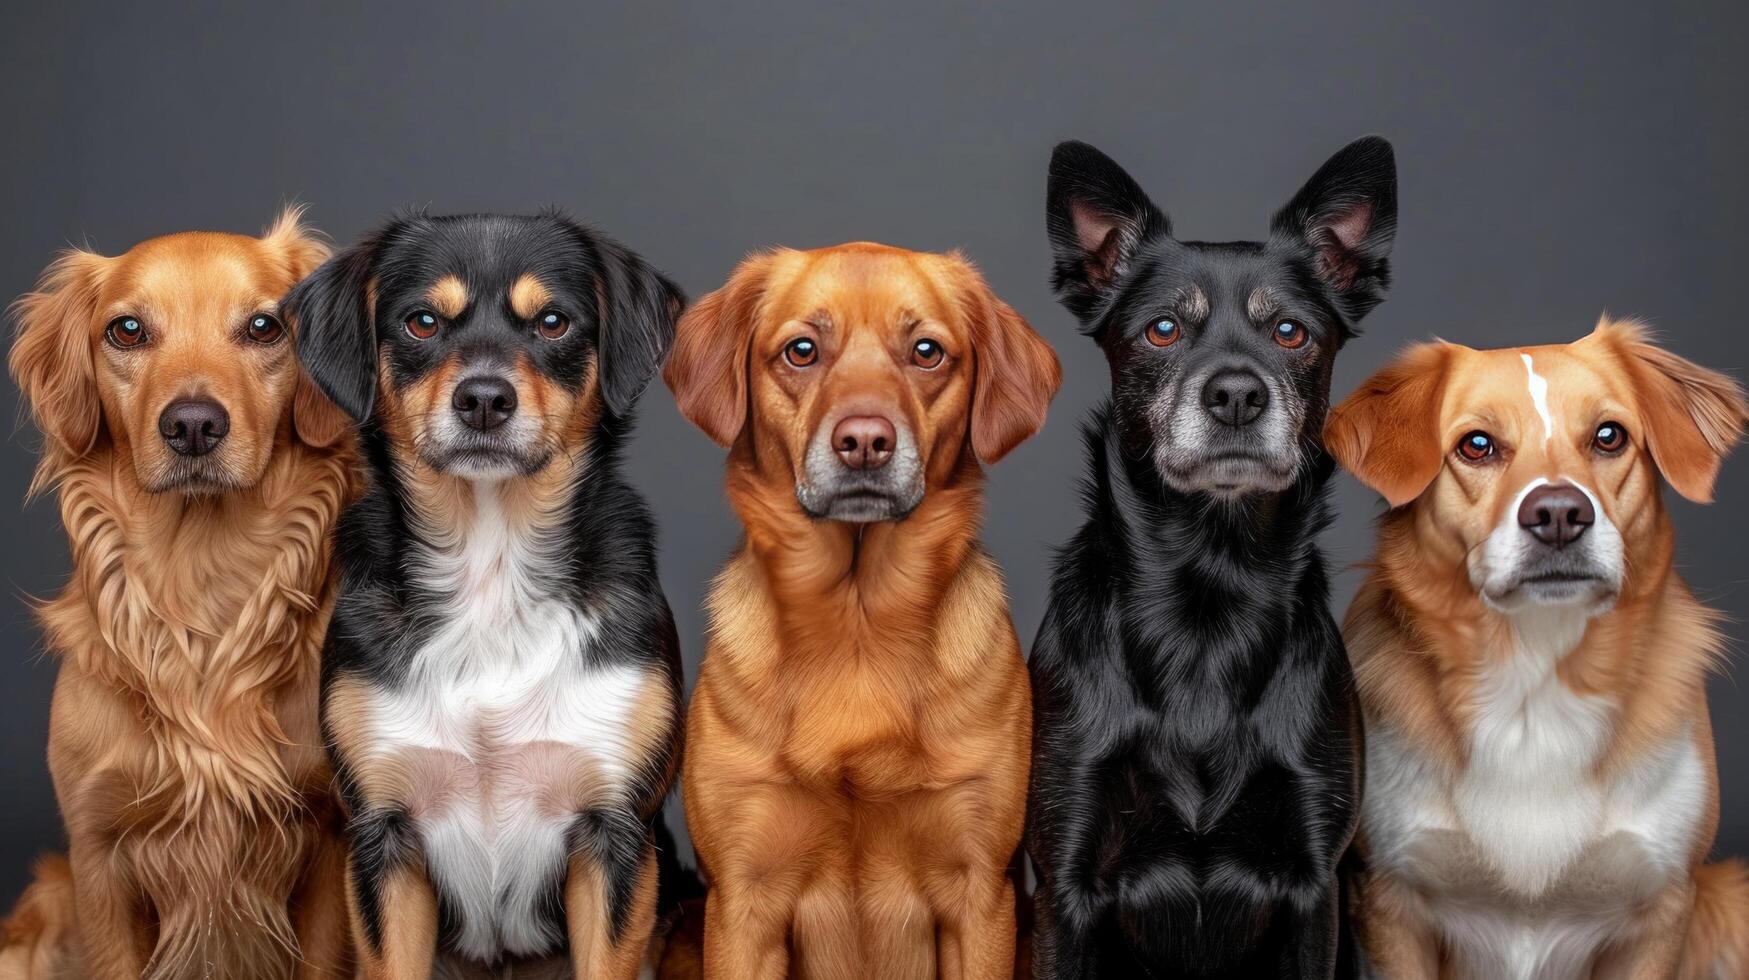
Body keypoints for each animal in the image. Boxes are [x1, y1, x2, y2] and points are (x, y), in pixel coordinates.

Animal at [0, 212, 358, 980]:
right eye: (127, 330)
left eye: (263, 327)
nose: (193, 424)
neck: (202, 577)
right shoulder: (99, 852)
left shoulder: (329, 837)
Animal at [285, 214, 682, 980]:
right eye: (422, 321)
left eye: (553, 322)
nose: (484, 399)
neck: (490, 571)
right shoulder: (384, 837)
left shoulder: (613, 833)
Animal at [661, 241, 1056, 973]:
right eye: (802, 350)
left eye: (927, 351)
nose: (866, 441)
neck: (857, 622)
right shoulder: (743, 904)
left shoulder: (979, 899)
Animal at [1021, 140, 1392, 980]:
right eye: (1162, 330)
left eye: (1289, 332)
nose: (1235, 396)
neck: (1207, 588)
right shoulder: (1061, 882)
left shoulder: (1315, 884)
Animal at [1322, 318, 1749, 973]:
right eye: (1476, 445)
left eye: (1608, 436)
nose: (1559, 514)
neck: (1533, 679)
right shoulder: (1389, 900)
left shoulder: (1661, 907)